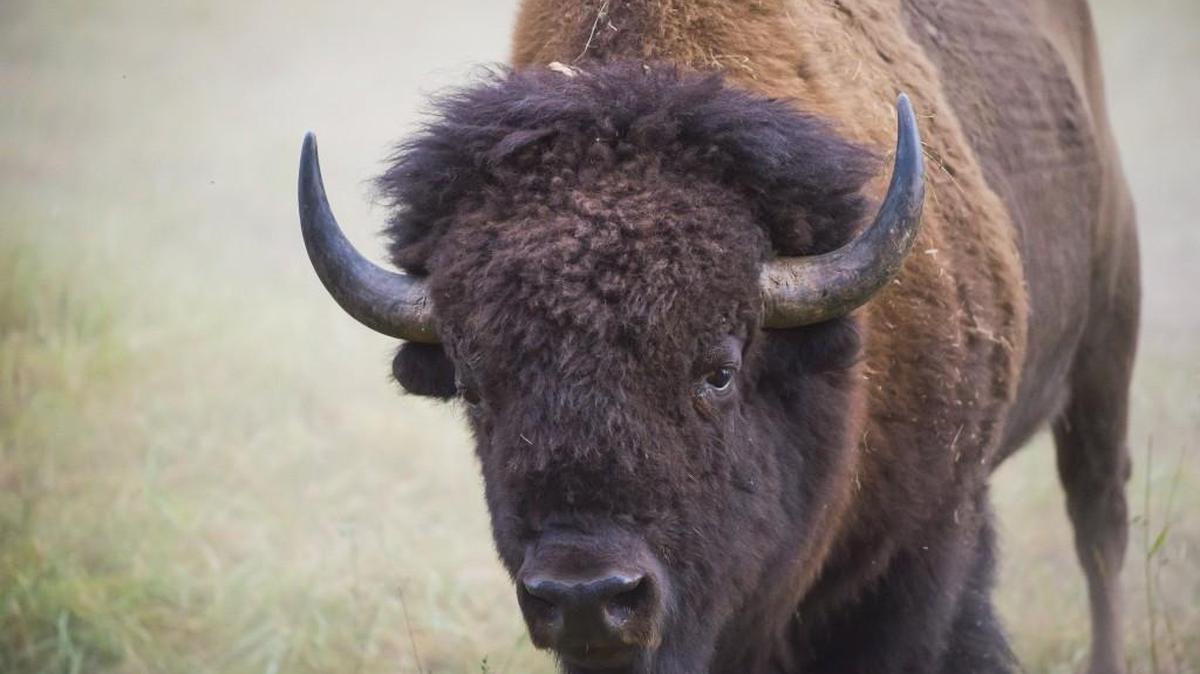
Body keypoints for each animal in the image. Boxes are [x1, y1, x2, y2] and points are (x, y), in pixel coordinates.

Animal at [297, 1, 1139, 673]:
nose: (588, 595)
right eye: (475, 389)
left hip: (1107, 354)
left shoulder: (928, 543)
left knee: (1100, 527)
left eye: (719, 371)